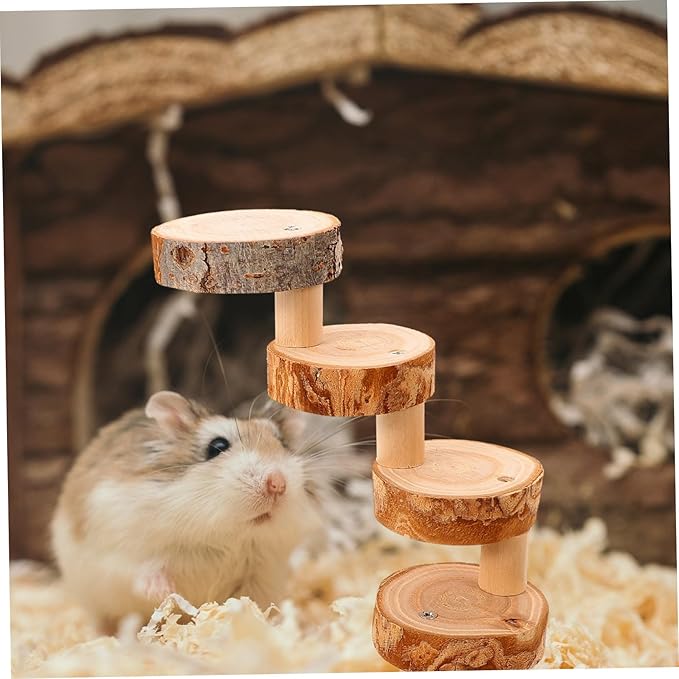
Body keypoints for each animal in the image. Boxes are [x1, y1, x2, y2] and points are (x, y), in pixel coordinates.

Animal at [50, 391, 359, 632]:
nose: (277, 483)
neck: (225, 536)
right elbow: (143, 571)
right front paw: (166, 592)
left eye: (282, 444)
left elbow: (251, 604)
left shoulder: (262, 574)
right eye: (217, 446)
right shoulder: (120, 548)